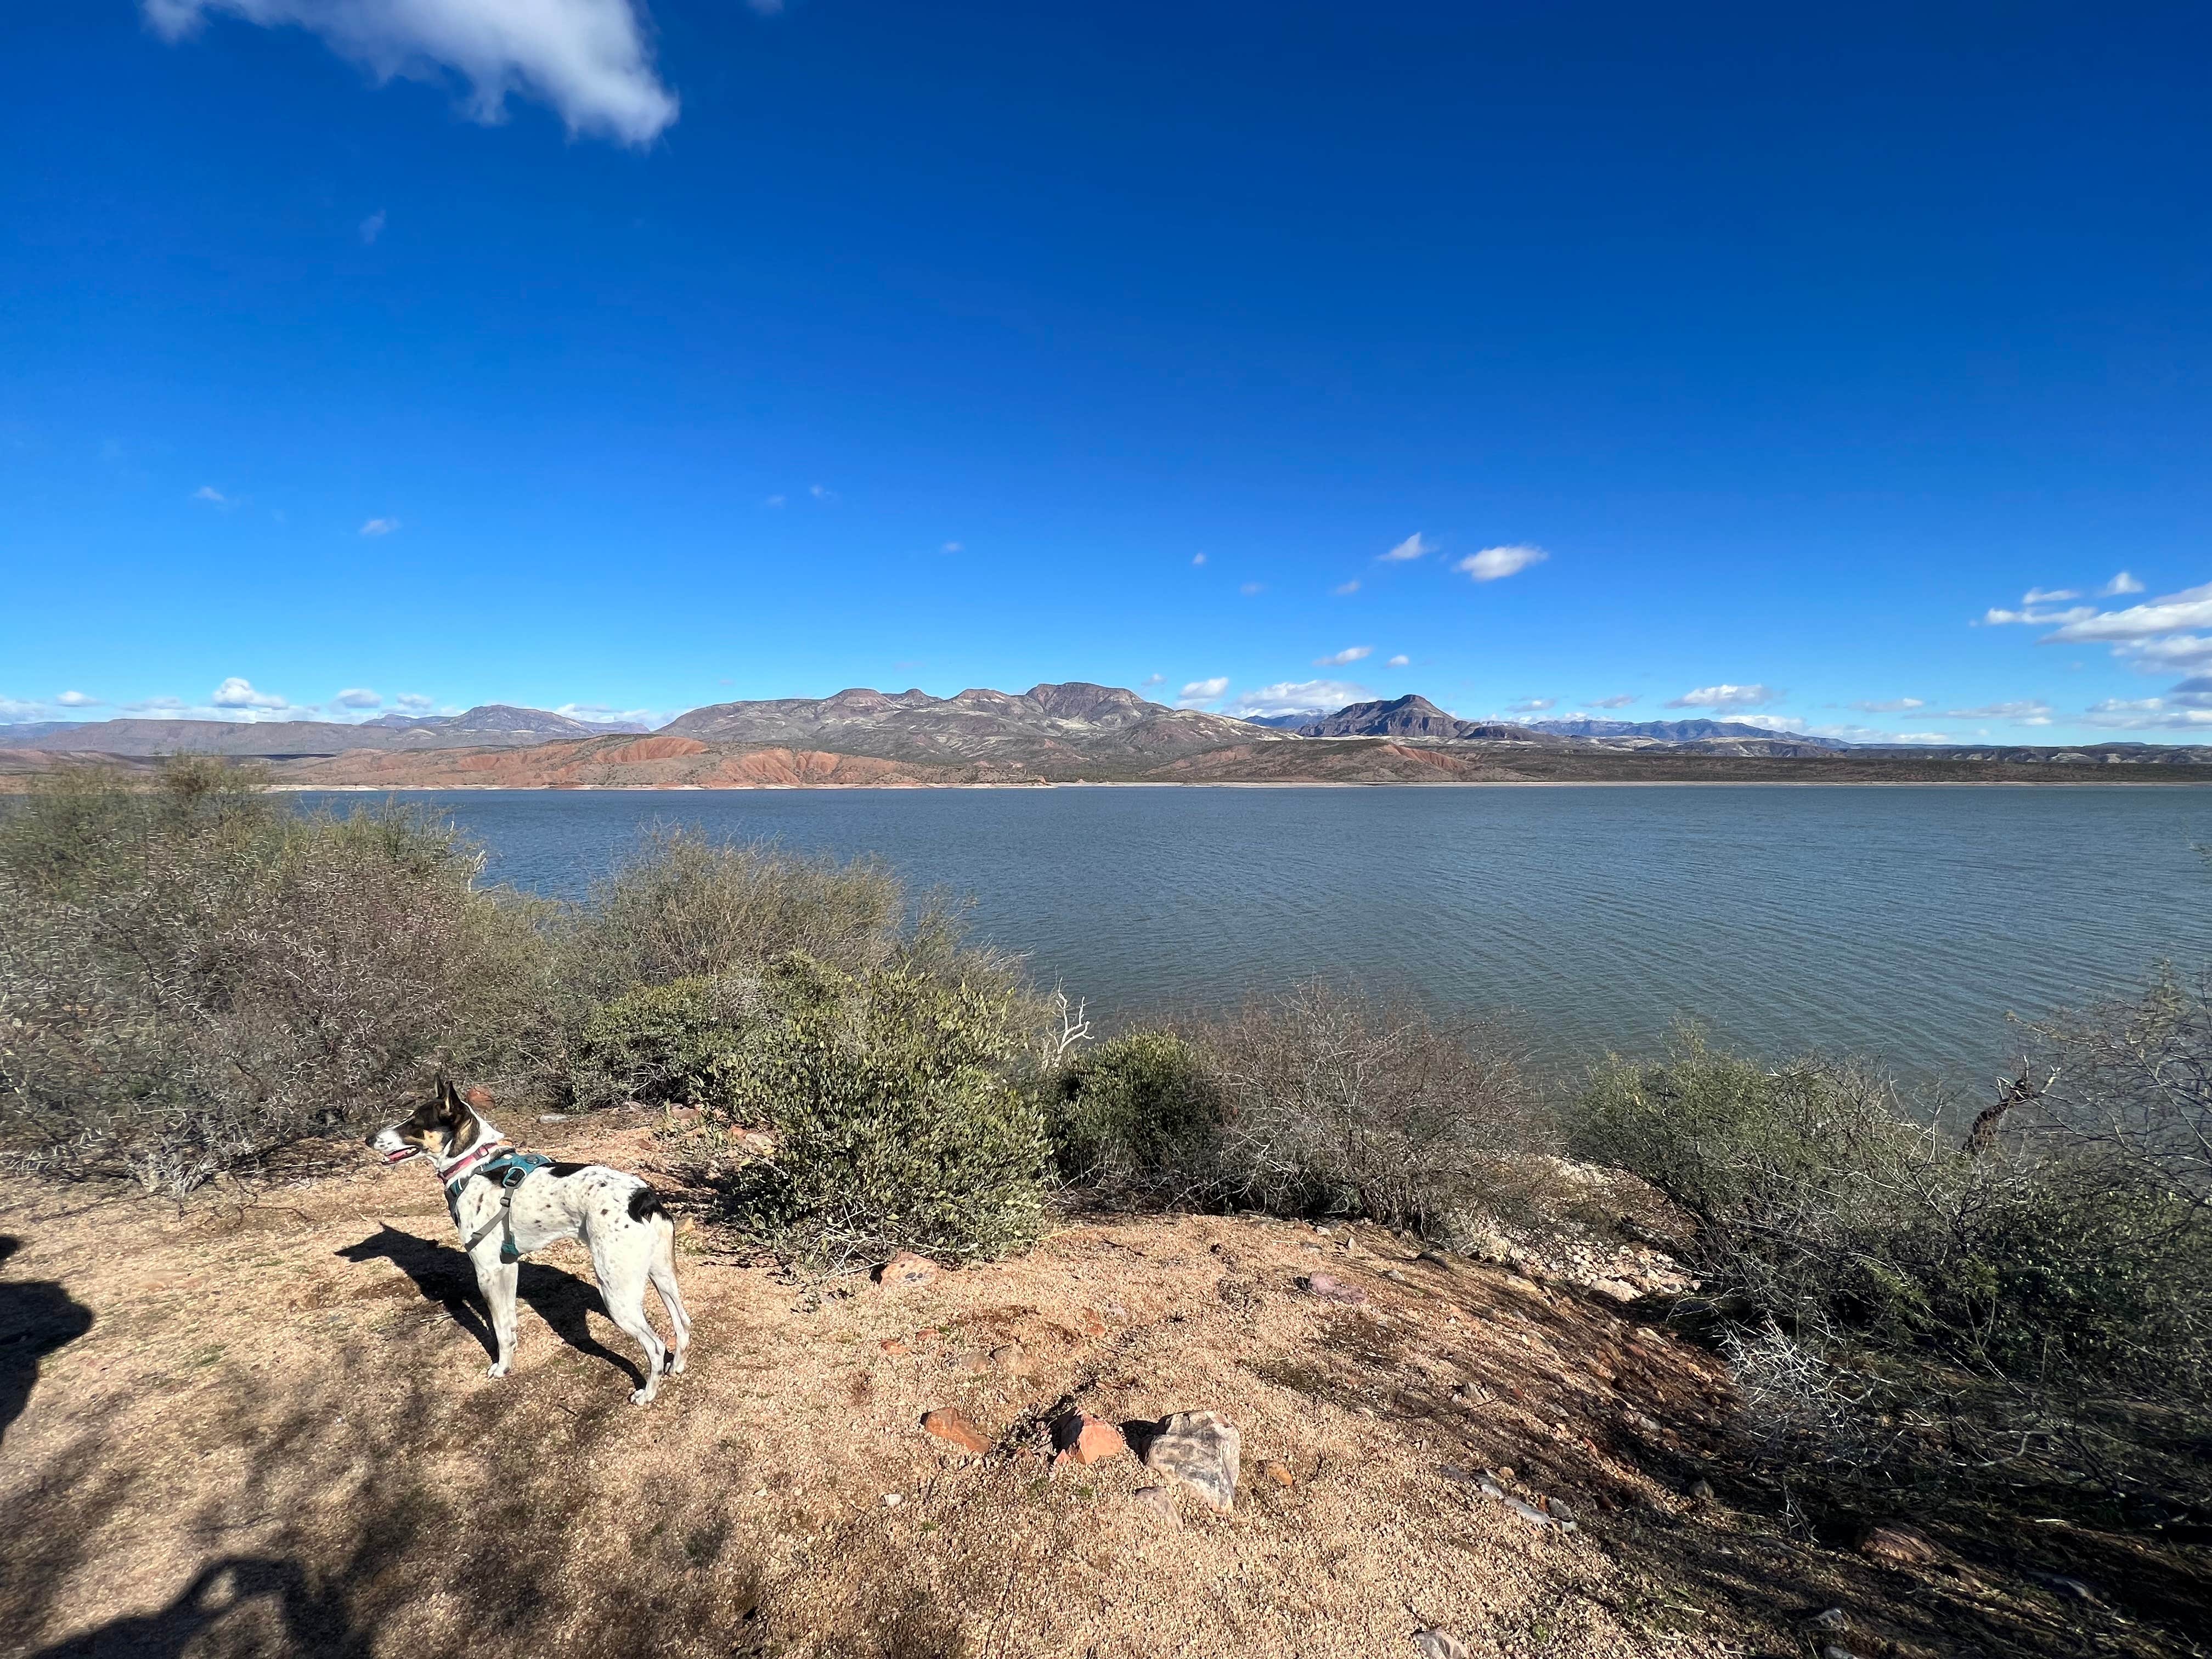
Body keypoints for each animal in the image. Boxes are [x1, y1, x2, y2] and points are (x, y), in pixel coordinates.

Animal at [363, 1079, 690, 1407]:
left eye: (413, 1123)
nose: (368, 1139)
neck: (472, 1166)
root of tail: (643, 1197)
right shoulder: (508, 1267)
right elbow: (509, 1324)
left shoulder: (486, 1272)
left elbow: (499, 1329)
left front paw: (501, 1368)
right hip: (662, 1277)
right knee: (683, 1324)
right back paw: (677, 1367)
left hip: (617, 1295)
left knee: (656, 1347)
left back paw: (648, 1393)